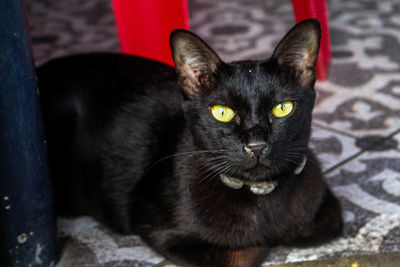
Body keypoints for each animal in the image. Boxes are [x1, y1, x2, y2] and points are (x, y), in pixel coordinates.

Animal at [37, 19, 342, 267]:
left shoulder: (326, 206)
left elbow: (319, 225)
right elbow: (246, 252)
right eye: (222, 112)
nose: (256, 145)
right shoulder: (156, 229)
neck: (259, 197)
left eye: (282, 109)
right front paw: (265, 240)